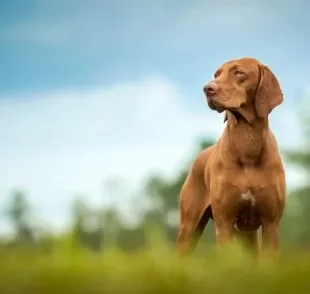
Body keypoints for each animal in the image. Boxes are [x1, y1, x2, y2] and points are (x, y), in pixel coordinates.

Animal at [177, 56, 286, 255]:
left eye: (239, 72)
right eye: (216, 74)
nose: (207, 88)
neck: (247, 141)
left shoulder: (271, 224)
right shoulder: (224, 224)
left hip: (248, 234)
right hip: (189, 227)